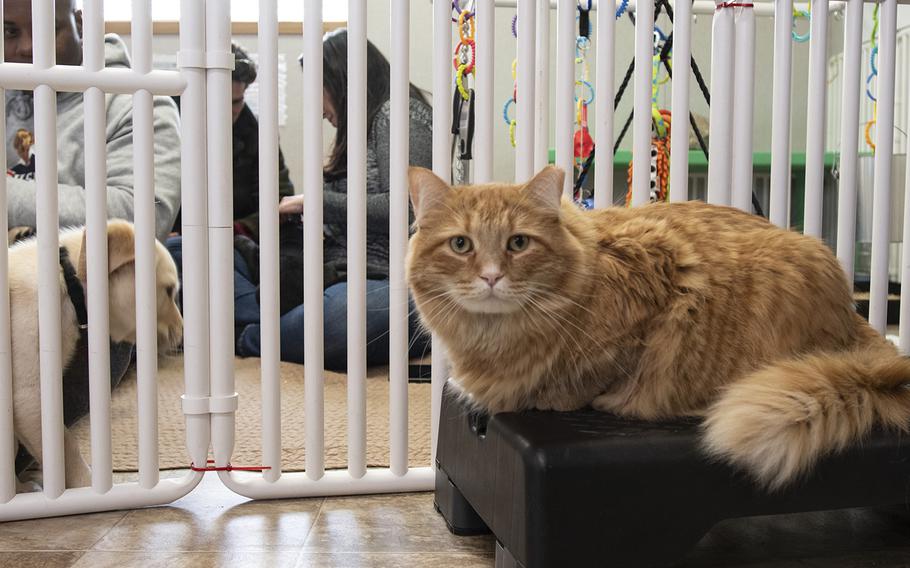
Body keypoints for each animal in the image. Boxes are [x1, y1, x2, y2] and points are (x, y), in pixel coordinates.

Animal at [410, 165, 910, 492]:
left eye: (518, 243)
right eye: (461, 245)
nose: (492, 277)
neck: (494, 339)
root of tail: (854, 320)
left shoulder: (661, 287)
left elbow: (585, 381)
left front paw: (557, 395)